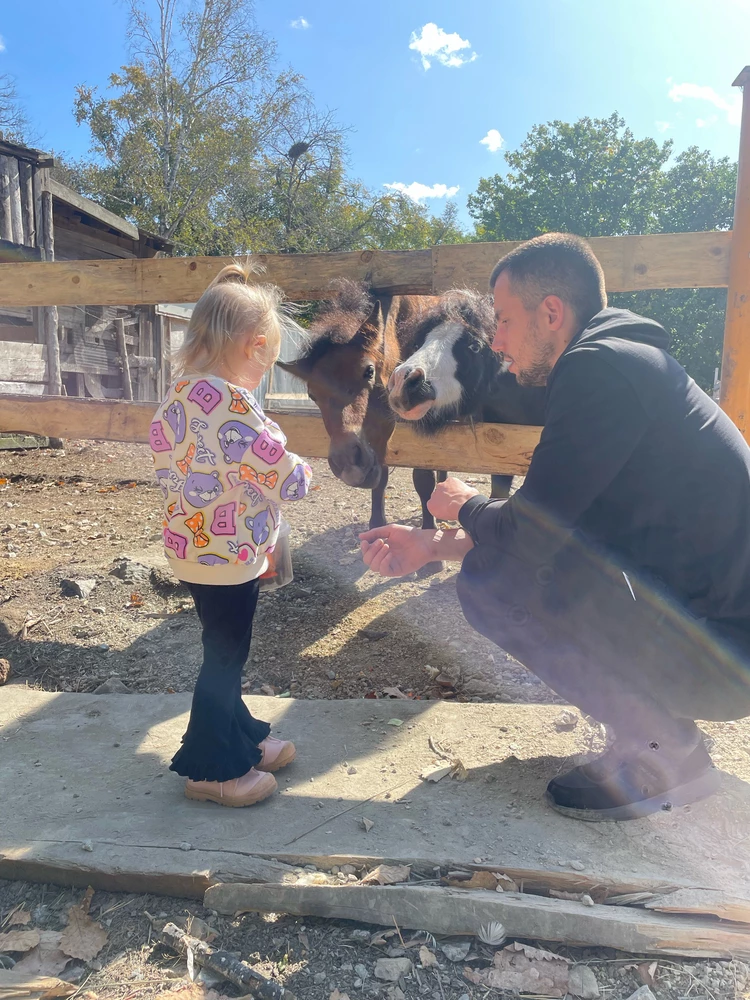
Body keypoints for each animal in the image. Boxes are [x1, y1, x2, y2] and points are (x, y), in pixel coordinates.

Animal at [276, 282, 444, 532]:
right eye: (312, 394)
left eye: (369, 371)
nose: (348, 463)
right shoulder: (378, 440)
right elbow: (381, 477)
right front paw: (377, 524)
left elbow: (423, 477)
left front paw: (429, 528)